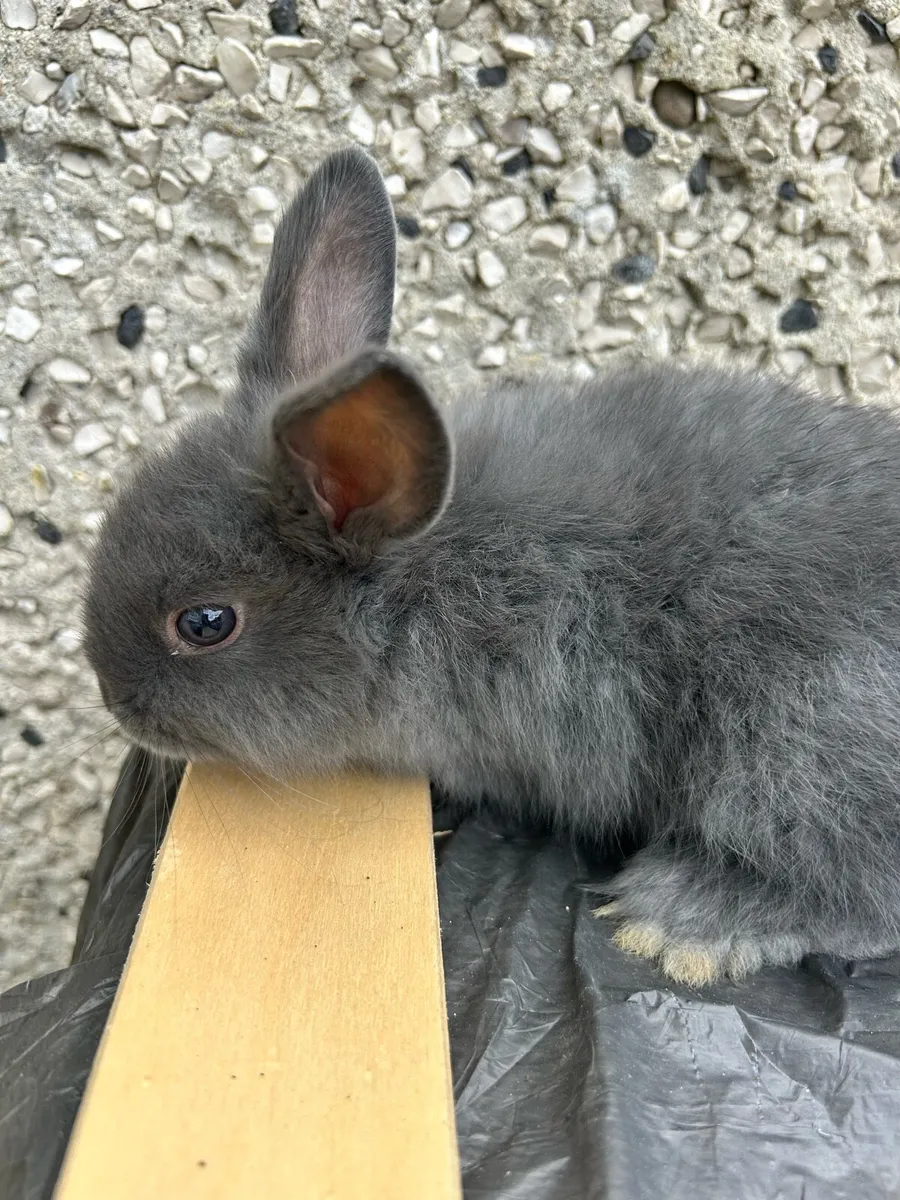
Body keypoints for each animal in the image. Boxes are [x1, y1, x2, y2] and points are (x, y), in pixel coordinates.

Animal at [84, 147, 900, 987]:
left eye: (204, 623)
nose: (116, 701)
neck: (419, 577)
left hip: (798, 741)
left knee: (856, 893)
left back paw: (679, 922)